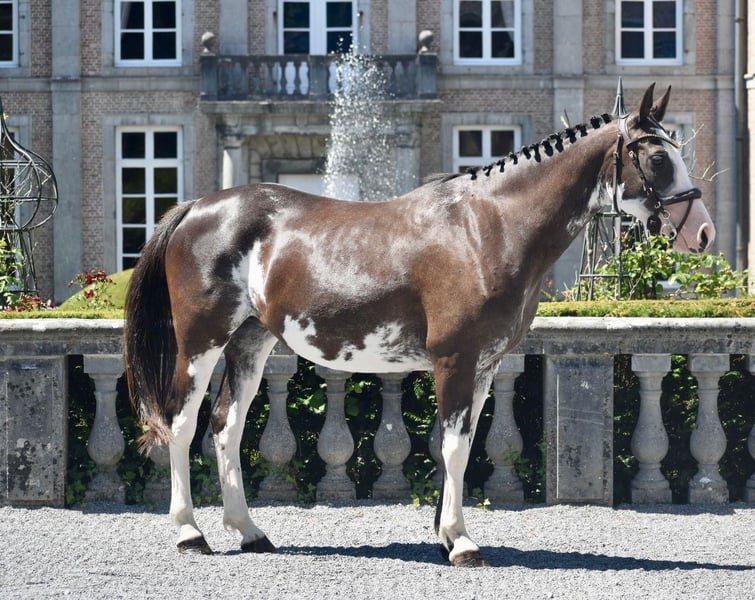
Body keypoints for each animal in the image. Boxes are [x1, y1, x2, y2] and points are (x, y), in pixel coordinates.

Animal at [124, 84, 715, 567]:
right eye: (658, 156)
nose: (704, 233)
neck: (487, 228)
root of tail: (198, 206)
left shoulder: (484, 365)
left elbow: (463, 446)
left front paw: (446, 534)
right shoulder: (455, 358)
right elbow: (452, 447)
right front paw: (461, 542)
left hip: (251, 340)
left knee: (227, 425)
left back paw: (249, 532)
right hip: (200, 341)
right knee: (181, 423)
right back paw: (190, 534)